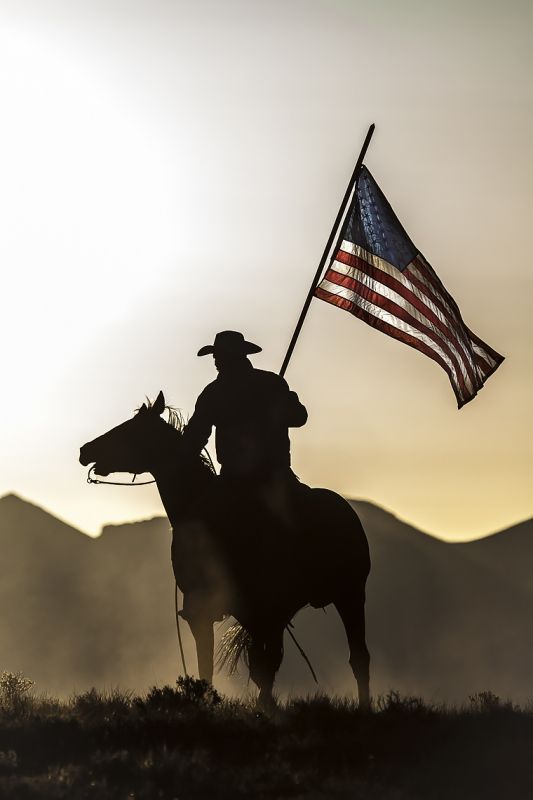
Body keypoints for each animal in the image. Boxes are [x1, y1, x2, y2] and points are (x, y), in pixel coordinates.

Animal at [79, 390, 370, 708]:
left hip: (348, 594)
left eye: (130, 429)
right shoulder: (238, 611)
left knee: (356, 658)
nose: (85, 450)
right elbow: (227, 666)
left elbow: (225, 665)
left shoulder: (221, 608)